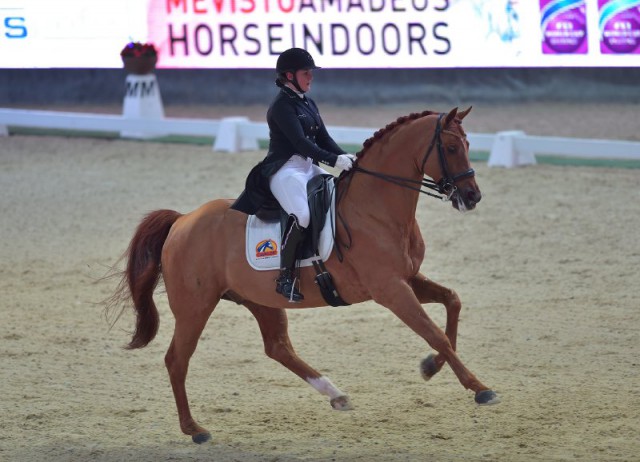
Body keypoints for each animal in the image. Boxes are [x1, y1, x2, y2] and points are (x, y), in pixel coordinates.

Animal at [107, 104, 500, 444]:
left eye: (468, 146)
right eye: (451, 147)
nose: (472, 196)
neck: (375, 209)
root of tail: (182, 221)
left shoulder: (408, 279)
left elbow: (452, 303)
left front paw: (432, 367)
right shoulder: (390, 289)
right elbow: (435, 333)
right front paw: (479, 388)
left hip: (260, 299)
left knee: (278, 347)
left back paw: (336, 395)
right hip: (195, 307)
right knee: (177, 360)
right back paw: (195, 429)